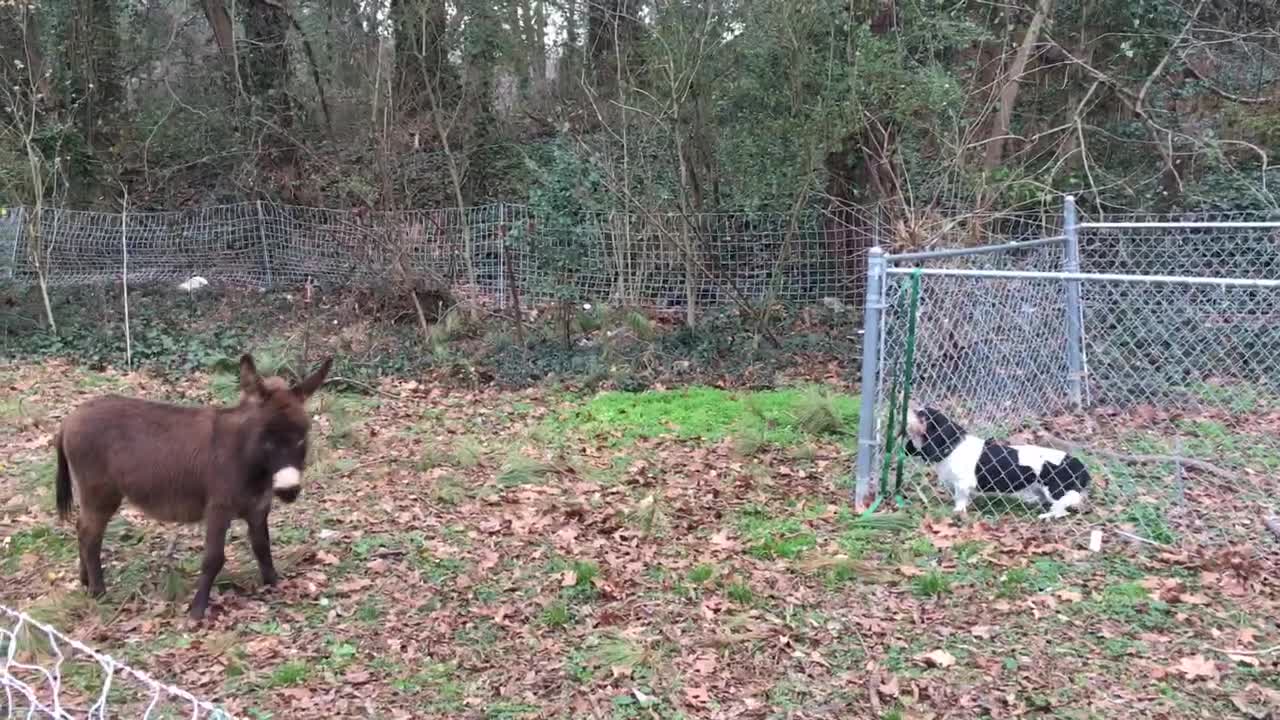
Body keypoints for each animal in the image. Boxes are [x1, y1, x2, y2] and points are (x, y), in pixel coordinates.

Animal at [901, 404, 1090, 515]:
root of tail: (1077, 464)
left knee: (1063, 507)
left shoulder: (962, 485)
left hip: (1055, 491)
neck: (953, 447)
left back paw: (1047, 515)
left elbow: (960, 500)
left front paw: (957, 512)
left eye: (922, 416)